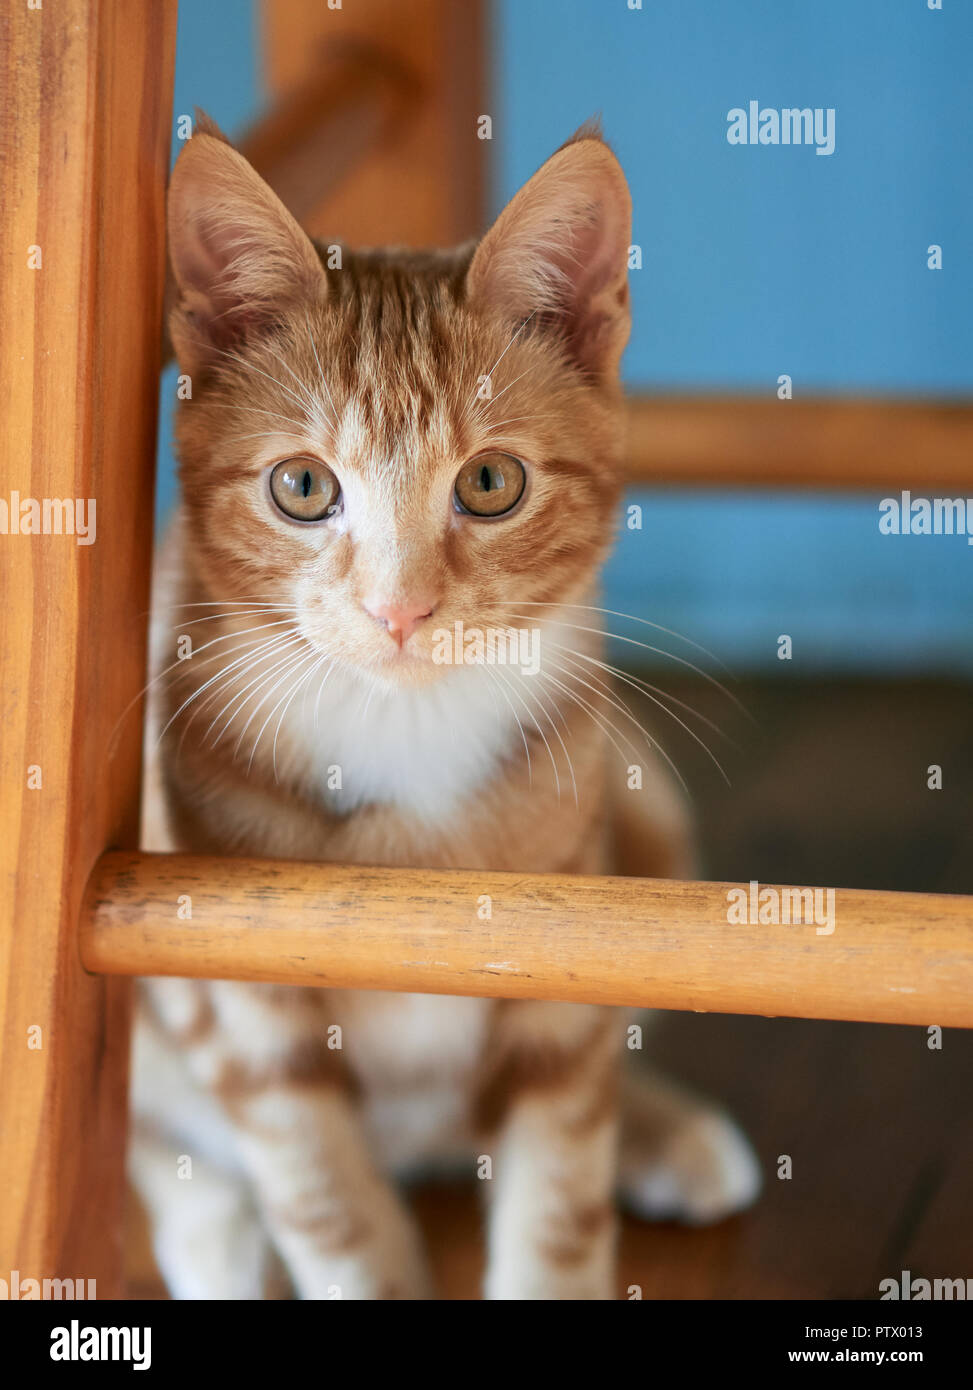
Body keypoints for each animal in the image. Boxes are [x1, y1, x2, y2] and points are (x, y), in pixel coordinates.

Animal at [134, 113, 761, 1295]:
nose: (400, 610)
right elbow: (330, 1213)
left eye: (489, 484)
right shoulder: (244, 1011)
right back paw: (217, 1244)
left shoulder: (571, 957)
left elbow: (559, 1191)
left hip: (644, 804)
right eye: (301, 488)